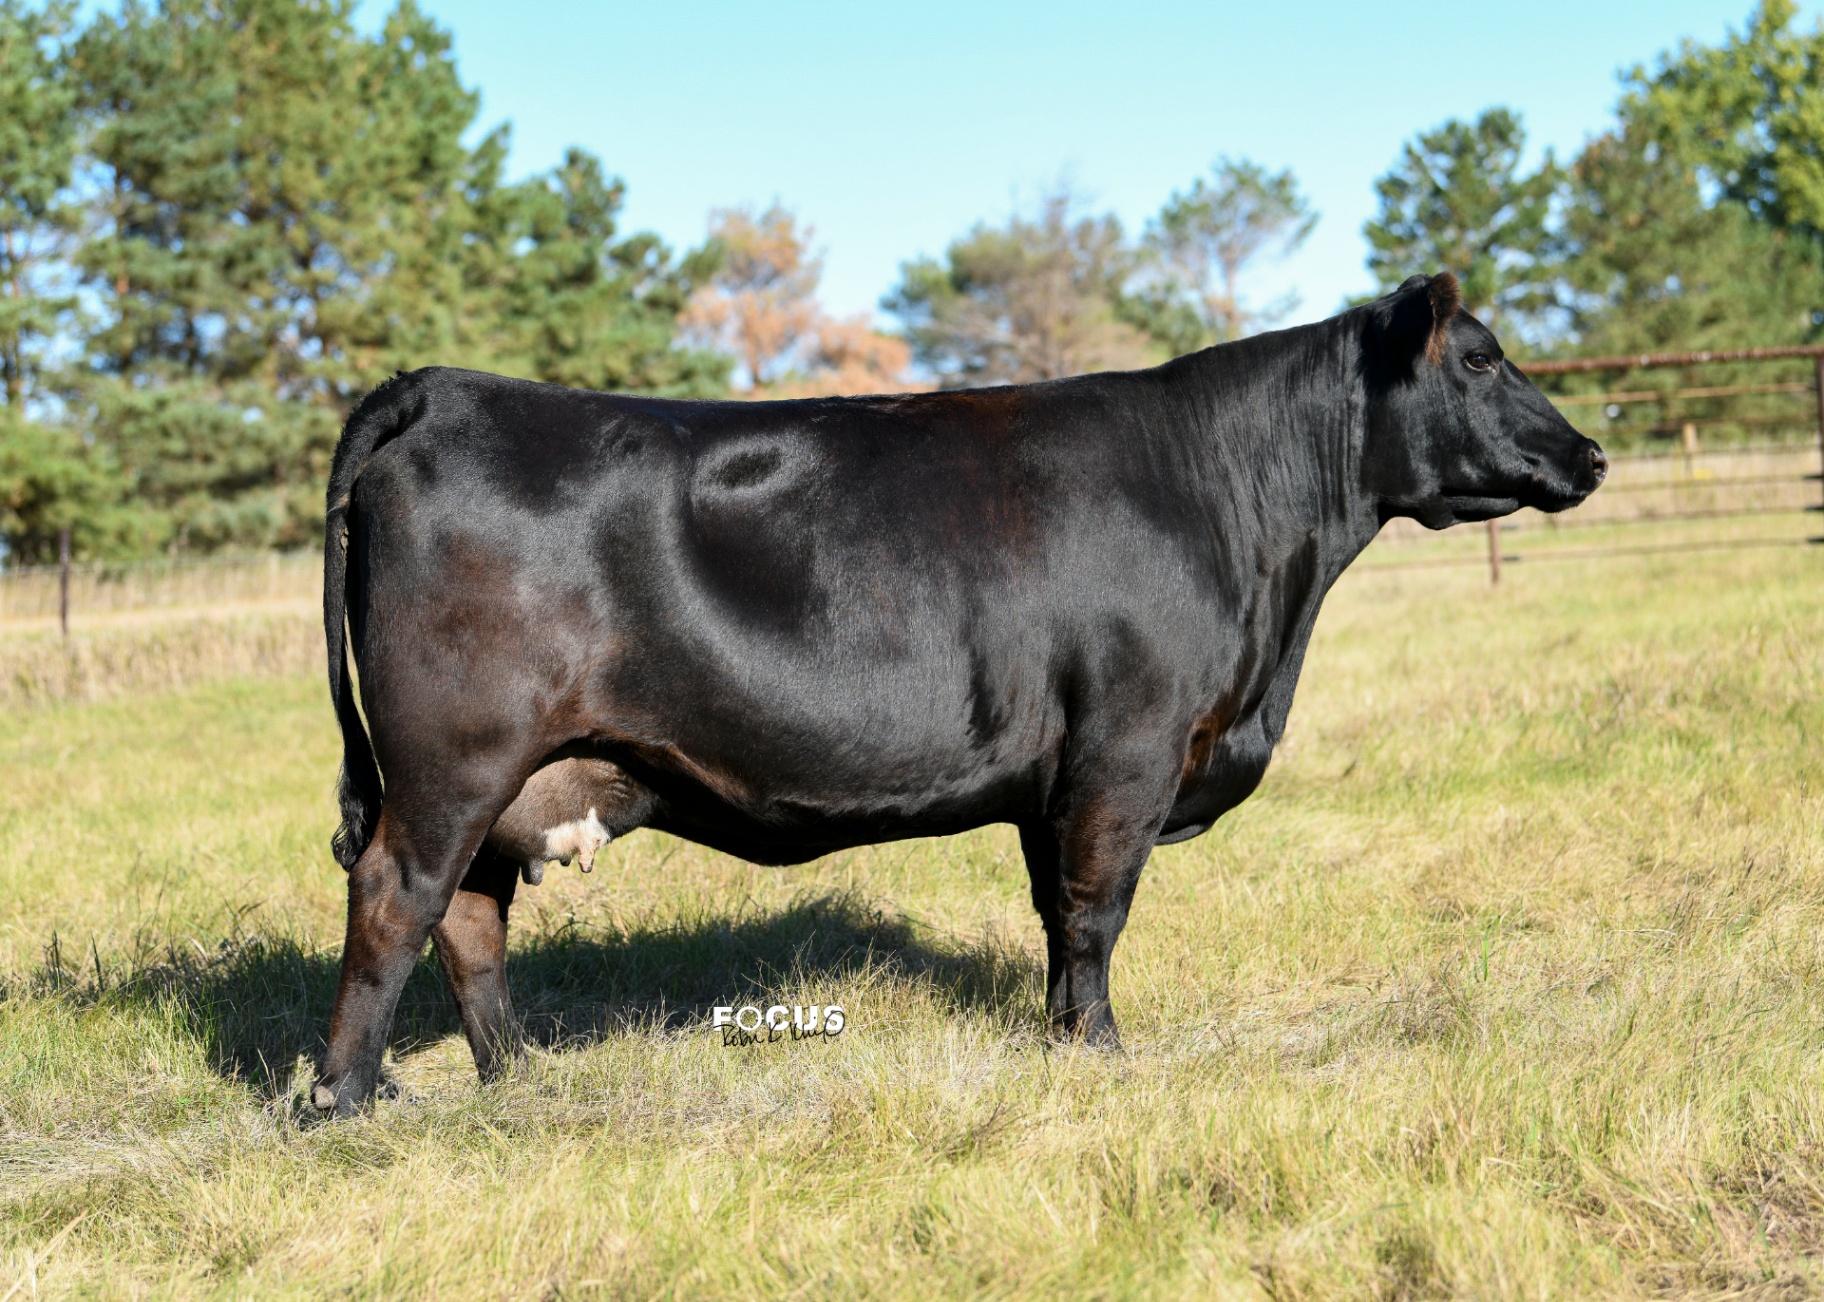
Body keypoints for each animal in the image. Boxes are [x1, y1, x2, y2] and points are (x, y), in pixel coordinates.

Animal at [309, 272, 1605, 1115]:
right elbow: (1095, 909)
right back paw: (345, 1101)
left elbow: (1054, 915)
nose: (1590, 454)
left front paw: (1062, 1038)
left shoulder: (1057, 773)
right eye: (1480, 357)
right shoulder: (1128, 748)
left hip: (507, 774)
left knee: (470, 918)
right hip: (453, 759)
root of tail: (446, 387)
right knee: (396, 899)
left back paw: (516, 1079)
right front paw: (1104, 1057)